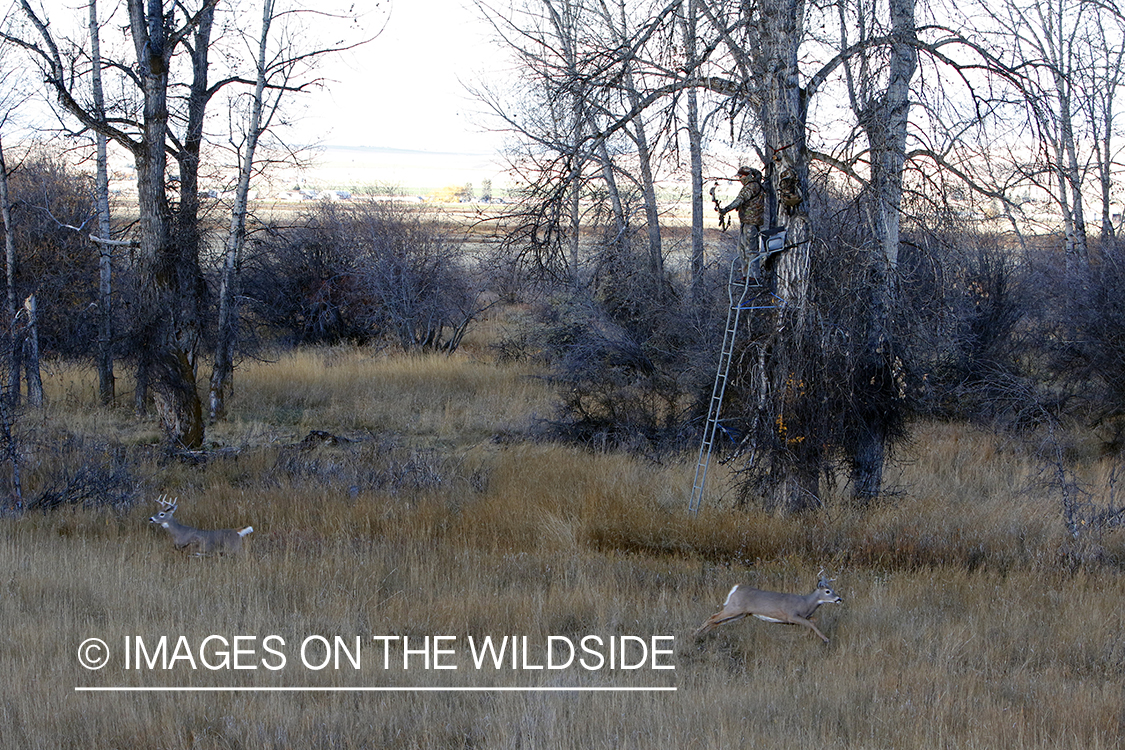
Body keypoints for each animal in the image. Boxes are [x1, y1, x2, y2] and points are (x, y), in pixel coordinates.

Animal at [695, 570, 843, 643]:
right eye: (827, 591)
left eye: (832, 589)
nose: (839, 599)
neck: (806, 603)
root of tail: (736, 588)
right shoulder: (791, 615)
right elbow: (811, 624)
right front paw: (826, 639)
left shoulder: (802, 618)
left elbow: (813, 621)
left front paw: (804, 635)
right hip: (734, 608)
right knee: (713, 617)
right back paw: (695, 633)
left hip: (741, 614)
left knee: (717, 621)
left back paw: (701, 634)